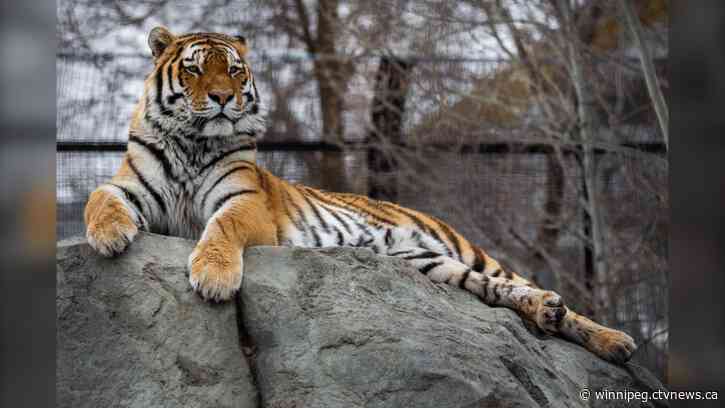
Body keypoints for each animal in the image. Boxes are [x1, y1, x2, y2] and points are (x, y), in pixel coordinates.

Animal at [84, 27, 637, 365]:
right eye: (197, 70)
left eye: (235, 71)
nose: (223, 98)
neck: (193, 142)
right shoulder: (130, 185)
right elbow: (99, 197)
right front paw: (110, 236)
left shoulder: (245, 200)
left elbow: (222, 226)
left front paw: (214, 278)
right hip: (434, 264)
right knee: (500, 291)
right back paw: (549, 313)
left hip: (466, 249)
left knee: (526, 286)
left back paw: (613, 341)